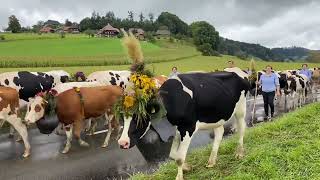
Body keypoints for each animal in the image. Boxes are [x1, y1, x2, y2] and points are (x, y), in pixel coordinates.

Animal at [117, 70, 250, 180]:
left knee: (241, 129)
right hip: (217, 115)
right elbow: (172, 155)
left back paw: (239, 153)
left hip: (241, 109)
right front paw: (187, 167)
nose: (122, 143)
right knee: (219, 132)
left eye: (139, 118)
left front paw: (179, 176)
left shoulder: (188, 127)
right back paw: (211, 161)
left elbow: (179, 158)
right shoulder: (178, 128)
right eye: (122, 119)